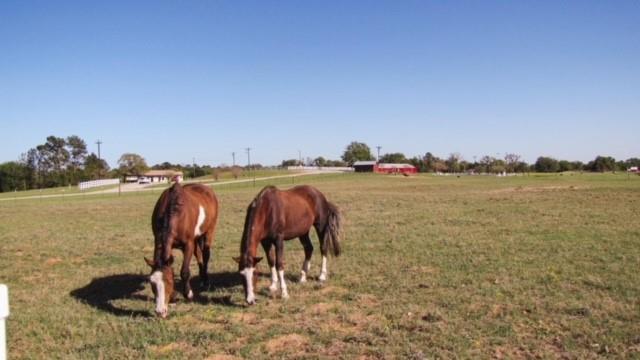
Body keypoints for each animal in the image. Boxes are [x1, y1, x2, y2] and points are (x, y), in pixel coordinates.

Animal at [144, 183, 219, 318]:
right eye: (151, 282)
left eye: (169, 281)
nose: (160, 312)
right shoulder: (159, 241)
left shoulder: (188, 244)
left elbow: (184, 271)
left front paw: (188, 294)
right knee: (199, 255)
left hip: (209, 231)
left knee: (205, 255)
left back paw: (205, 280)